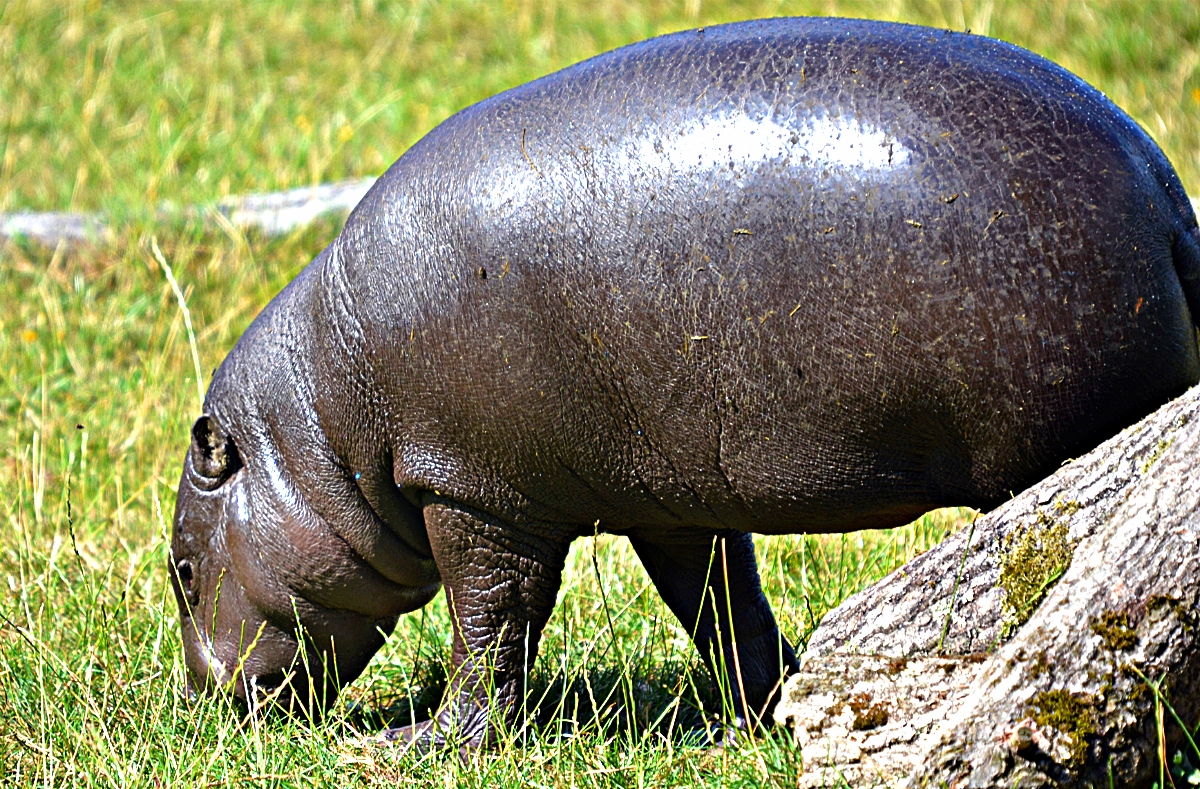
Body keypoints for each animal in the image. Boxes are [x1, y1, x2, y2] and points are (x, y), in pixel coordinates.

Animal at [170, 17, 1200, 748]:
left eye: (181, 569)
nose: (199, 705)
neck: (323, 422)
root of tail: (1166, 196)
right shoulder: (669, 497)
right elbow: (716, 602)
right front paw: (761, 717)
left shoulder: (470, 490)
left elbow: (491, 626)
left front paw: (422, 744)